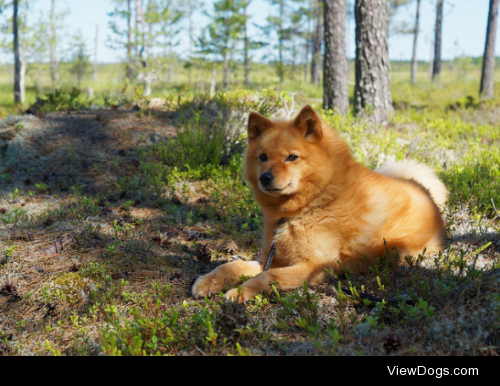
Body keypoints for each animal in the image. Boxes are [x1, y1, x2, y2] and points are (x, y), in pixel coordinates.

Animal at [192, 106, 450, 304]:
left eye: (292, 157)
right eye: (263, 157)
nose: (265, 178)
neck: (309, 206)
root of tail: (423, 189)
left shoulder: (316, 266)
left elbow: (267, 277)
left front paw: (240, 292)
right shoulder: (270, 258)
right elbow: (230, 266)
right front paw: (208, 281)